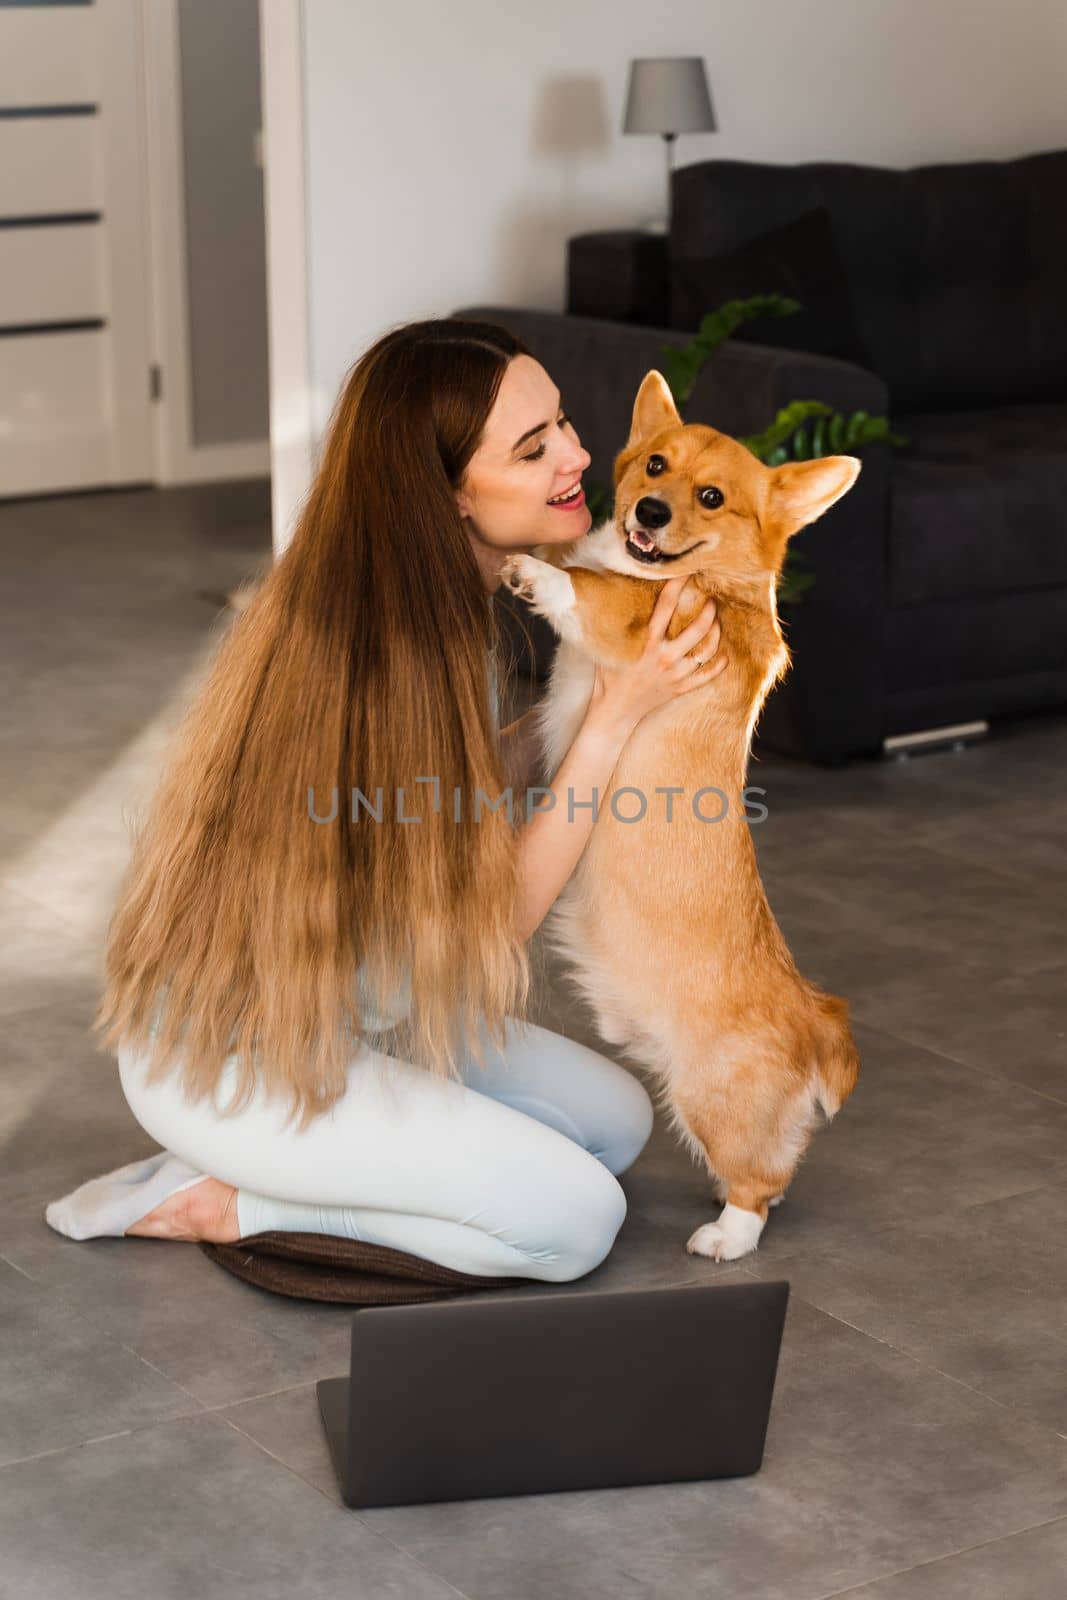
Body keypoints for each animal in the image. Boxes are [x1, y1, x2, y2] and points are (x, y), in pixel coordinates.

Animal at [505, 374, 863, 1260]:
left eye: (710, 497)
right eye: (654, 465)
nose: (650, 511)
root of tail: (813, 1021)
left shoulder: (638, 621)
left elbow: (594, 590)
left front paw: (531, 569)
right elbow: (586, 566)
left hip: (710, 1097)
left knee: (759, 1183)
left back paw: (724, 1237)